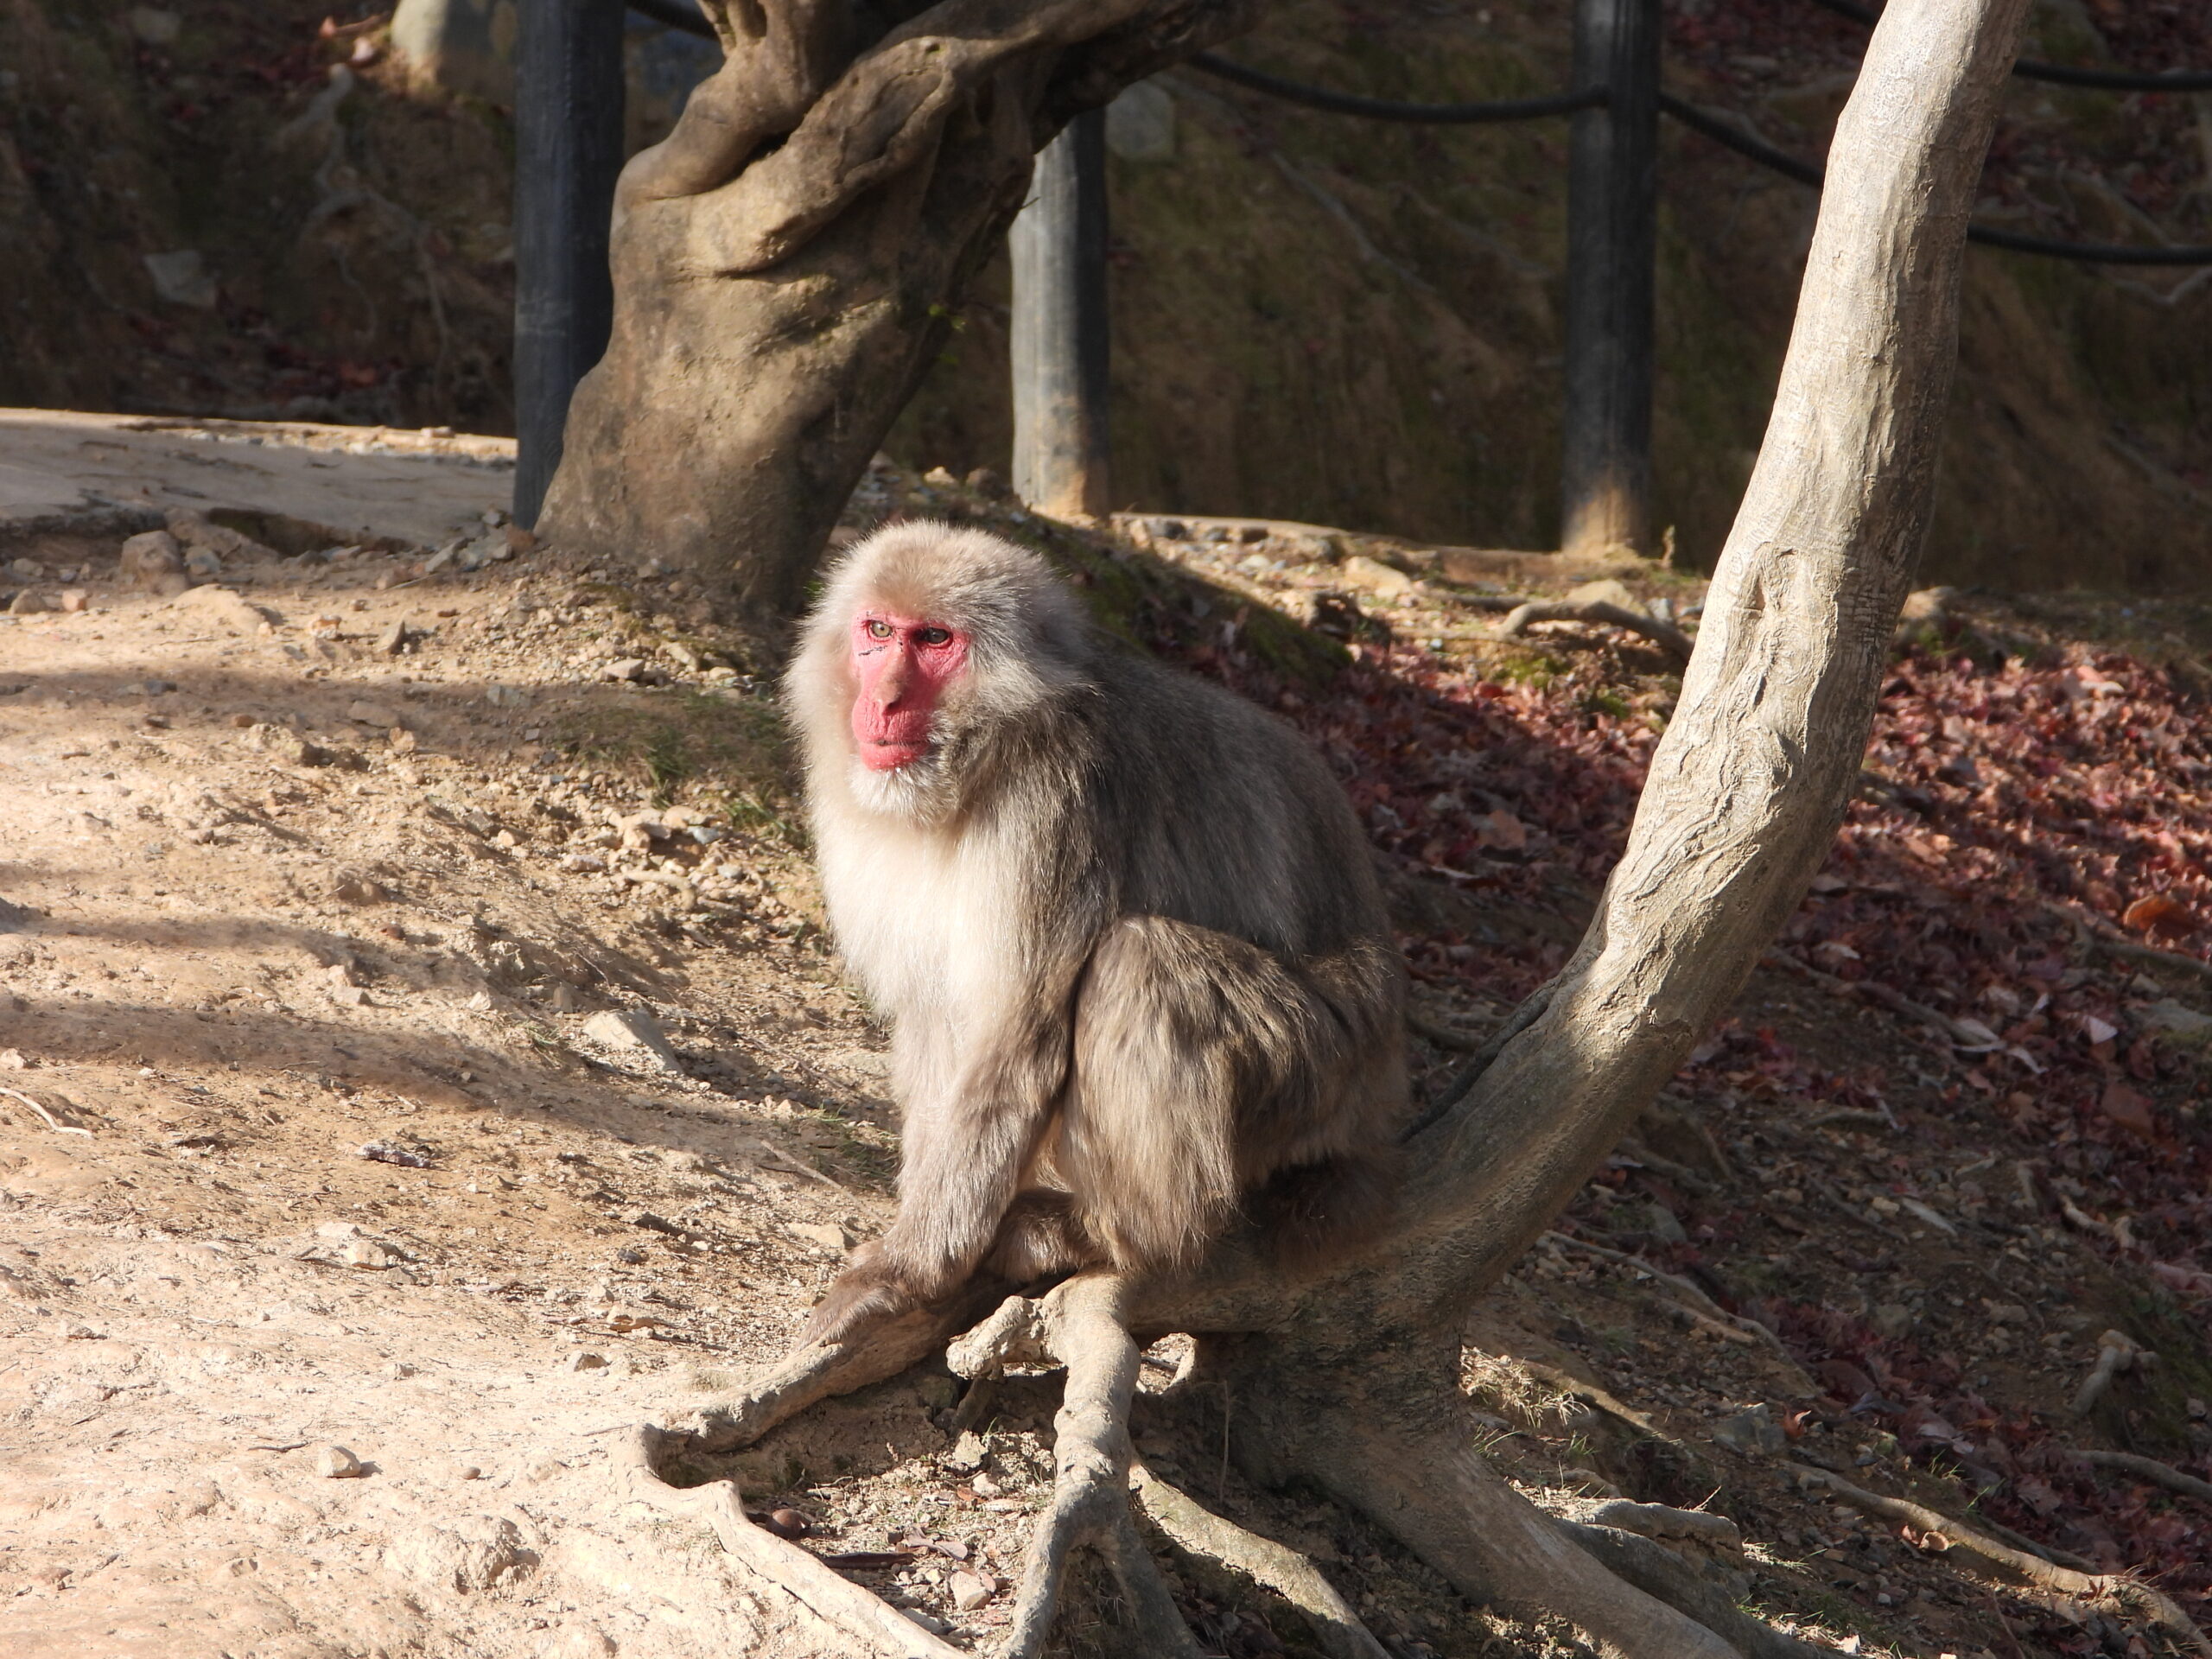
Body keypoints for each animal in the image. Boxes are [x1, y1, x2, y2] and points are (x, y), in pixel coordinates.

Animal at [784, 522, 1407, 1344]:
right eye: (878, 632)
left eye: (935, 640)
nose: (882, 700)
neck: (987, 757)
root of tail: (1382, 1097)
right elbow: (940, 1021)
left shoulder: (1057, 807)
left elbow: (1016, 1039)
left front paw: (907, 1272)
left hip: (1320, 1079)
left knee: (1144, 961)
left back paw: (1123, 1235)